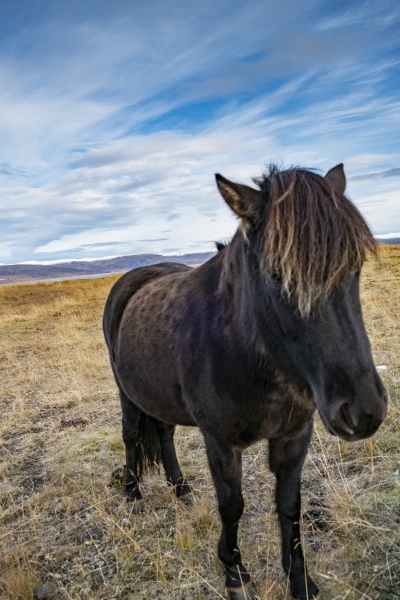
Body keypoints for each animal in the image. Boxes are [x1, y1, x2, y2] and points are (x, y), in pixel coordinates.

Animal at [103, 164, 388, 600]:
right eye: (276, 273)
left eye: (354, 266)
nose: (364, 410)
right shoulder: (220, 441)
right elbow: (232, 507)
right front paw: (235, 574)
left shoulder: (294, 435)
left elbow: (289, 506)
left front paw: (300, 581)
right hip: (127, 394)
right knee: (132, 434)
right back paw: (133, 492)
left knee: (165, 433)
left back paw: (181, 488)